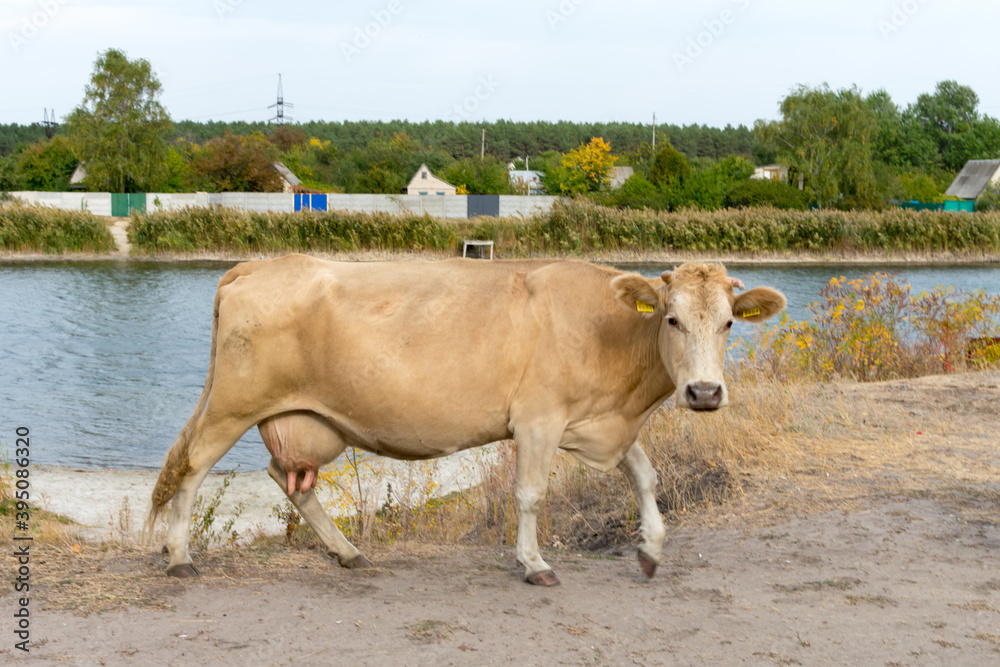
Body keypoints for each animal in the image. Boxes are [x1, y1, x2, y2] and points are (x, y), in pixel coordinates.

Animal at [147, 256, 785, 586]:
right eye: (672, 318)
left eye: (729, 322)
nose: (704, 392)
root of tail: (261, 262)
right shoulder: (539, 419)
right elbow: (530, 494)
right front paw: (534, 564)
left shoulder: (601, 422)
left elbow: (646, 477)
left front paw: (651, 549)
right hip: (231, 405)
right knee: (193, 469)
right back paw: (180, 558)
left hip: (305, 418)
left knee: (290, 482)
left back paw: (348, 553)